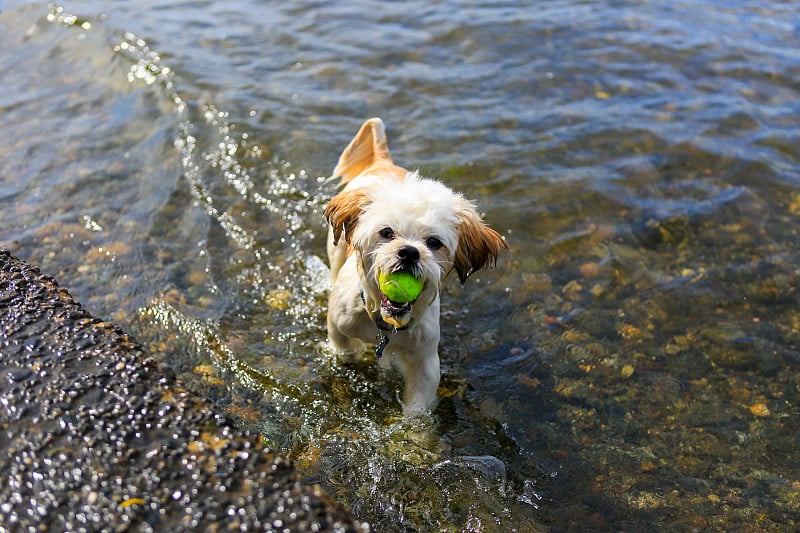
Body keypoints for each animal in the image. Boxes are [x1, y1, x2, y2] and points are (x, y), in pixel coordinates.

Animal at [324, 118, 506, 414]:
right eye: (387, 232)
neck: (387, 324)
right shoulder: (338, 327)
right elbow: (346, 351)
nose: (409, 253)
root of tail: (384, 162)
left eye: (433, 242)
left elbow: (418, 408)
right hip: (336, 249)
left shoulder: (425, 361)